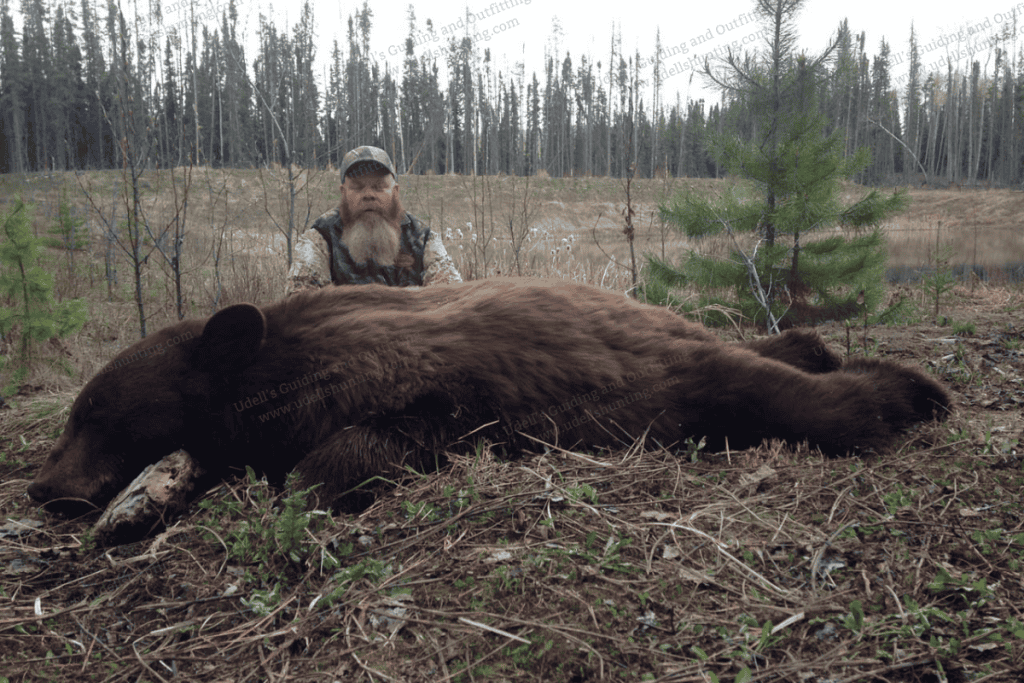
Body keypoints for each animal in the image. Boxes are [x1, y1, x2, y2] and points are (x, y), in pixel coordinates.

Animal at [28, 278, 950, 515]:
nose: (42, 487)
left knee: (792, 393)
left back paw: (914, 390)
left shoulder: (431, 386)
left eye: (96, 412)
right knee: (785, 347)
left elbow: (365, 444)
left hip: (678, 374)